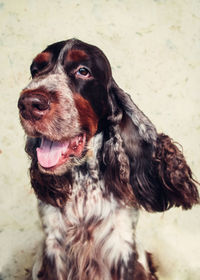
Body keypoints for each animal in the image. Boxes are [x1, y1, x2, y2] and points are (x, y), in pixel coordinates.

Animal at [18, 38, 199, 278]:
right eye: (35, 70)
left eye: (83, 71)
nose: (28, 104)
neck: (84, 184)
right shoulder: (53, 246)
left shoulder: (121, 245)